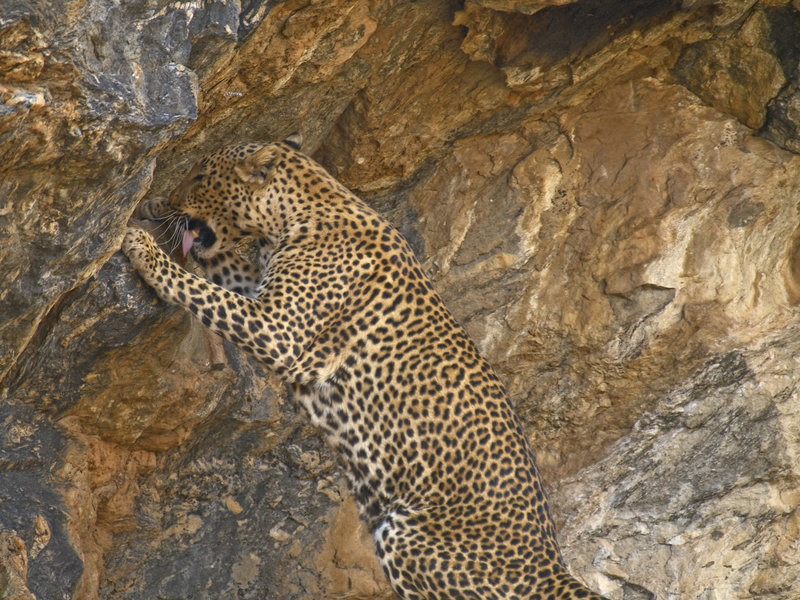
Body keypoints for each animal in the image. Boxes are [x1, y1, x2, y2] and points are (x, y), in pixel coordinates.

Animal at [122, 135, 609, 600]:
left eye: (201, 175)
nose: (173, 197)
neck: (298, 212)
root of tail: (553, 570)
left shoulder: (279, 331)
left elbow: (201, 291)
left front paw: (144, 247)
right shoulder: (261, 292)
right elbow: (220, 268)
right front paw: (153, 208)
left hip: (406, 534)